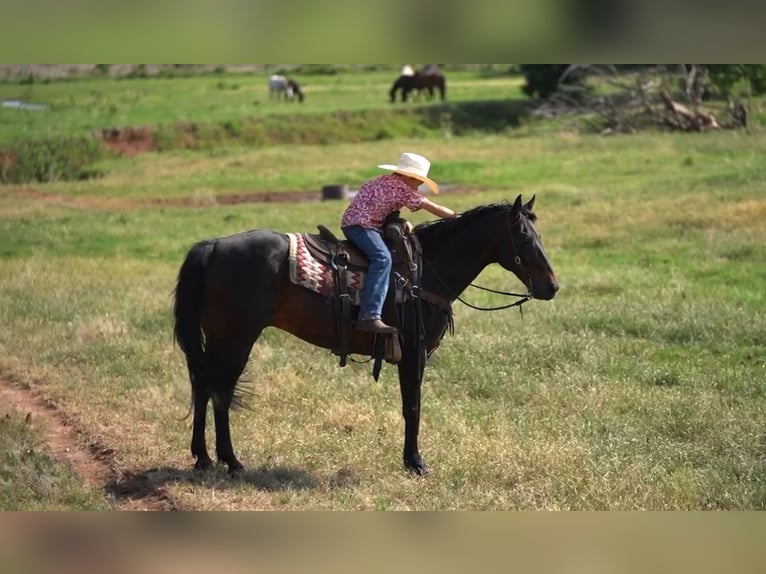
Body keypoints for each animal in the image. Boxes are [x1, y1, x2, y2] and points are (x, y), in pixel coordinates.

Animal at [172, 196, 560, 474]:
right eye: (524, 236)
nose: (551, 286)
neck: (425, 271)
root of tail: (213, 246)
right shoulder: (413, 350)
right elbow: (412, 405)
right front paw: (415, 462)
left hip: (217, 337)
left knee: (203, 385)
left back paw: (204, 458)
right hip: (236, 338)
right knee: (220, 390)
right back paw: (231, 461)